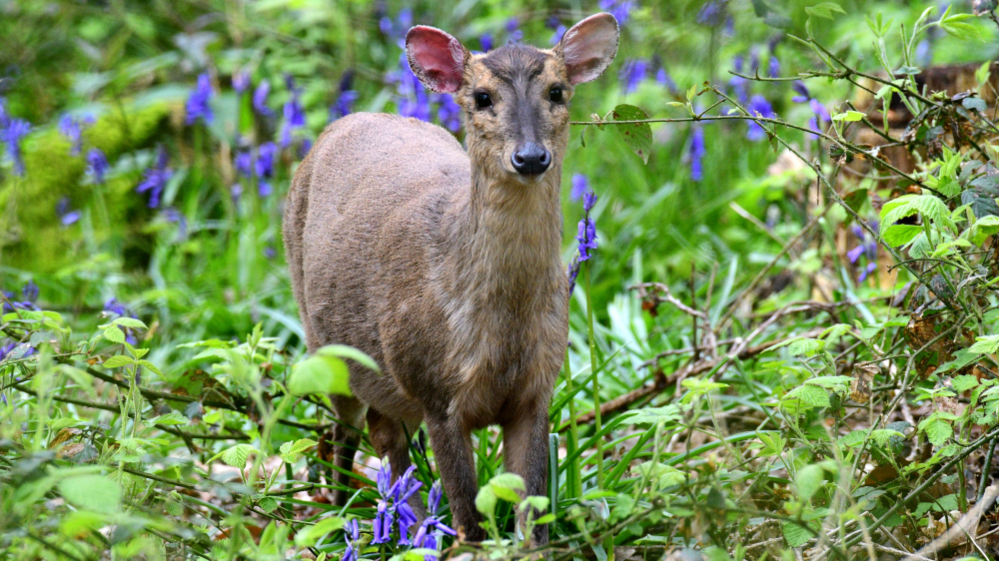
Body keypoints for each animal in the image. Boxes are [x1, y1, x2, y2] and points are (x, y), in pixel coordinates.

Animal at [282, 15, 620, 544]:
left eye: (557, 91)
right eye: (481, 97)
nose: (530, 157)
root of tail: (349, 118)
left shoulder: (537, 389)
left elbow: (532, 513)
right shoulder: (434, 388)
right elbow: (469, 514)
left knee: (386, 437)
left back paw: (404, 525)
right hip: (326, 345)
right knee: (346, 431)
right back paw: (340, 515)